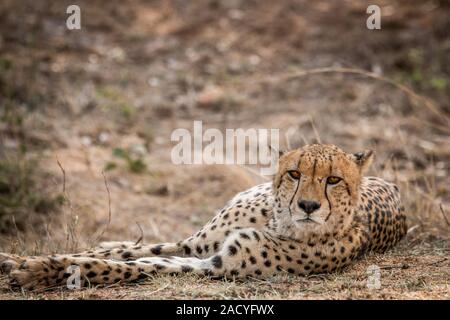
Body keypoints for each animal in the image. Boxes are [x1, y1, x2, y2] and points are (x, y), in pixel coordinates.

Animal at [0, 144, 408, 290]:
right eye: (295, 174)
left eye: (333, 180)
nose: (308, 206)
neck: (276, 220)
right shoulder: (197, 247)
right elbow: (123, 256)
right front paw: (29, 263)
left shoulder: (213, 263)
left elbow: (133, 266)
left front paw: (41, 271)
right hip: (197, 238)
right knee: (123, 246)